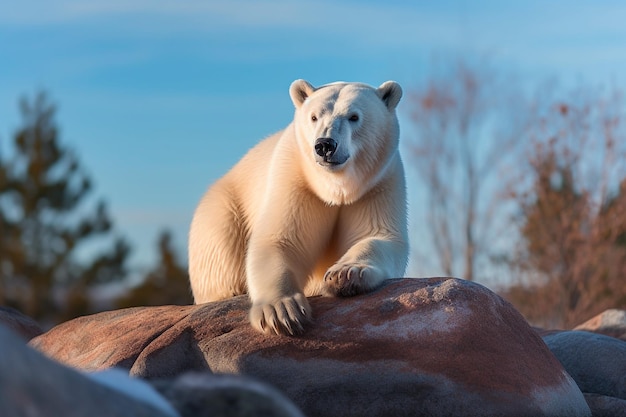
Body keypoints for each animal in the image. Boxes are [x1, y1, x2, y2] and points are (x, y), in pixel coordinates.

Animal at [188, 79, 408, 334]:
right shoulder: (294, 177)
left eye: (354, 116)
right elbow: (281, 239)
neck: (335, 188)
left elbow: (380, 236)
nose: (325, 145)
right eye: (314, 116)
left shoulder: (378, 183)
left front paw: (344, 274)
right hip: (222, 208)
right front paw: (281, 311)